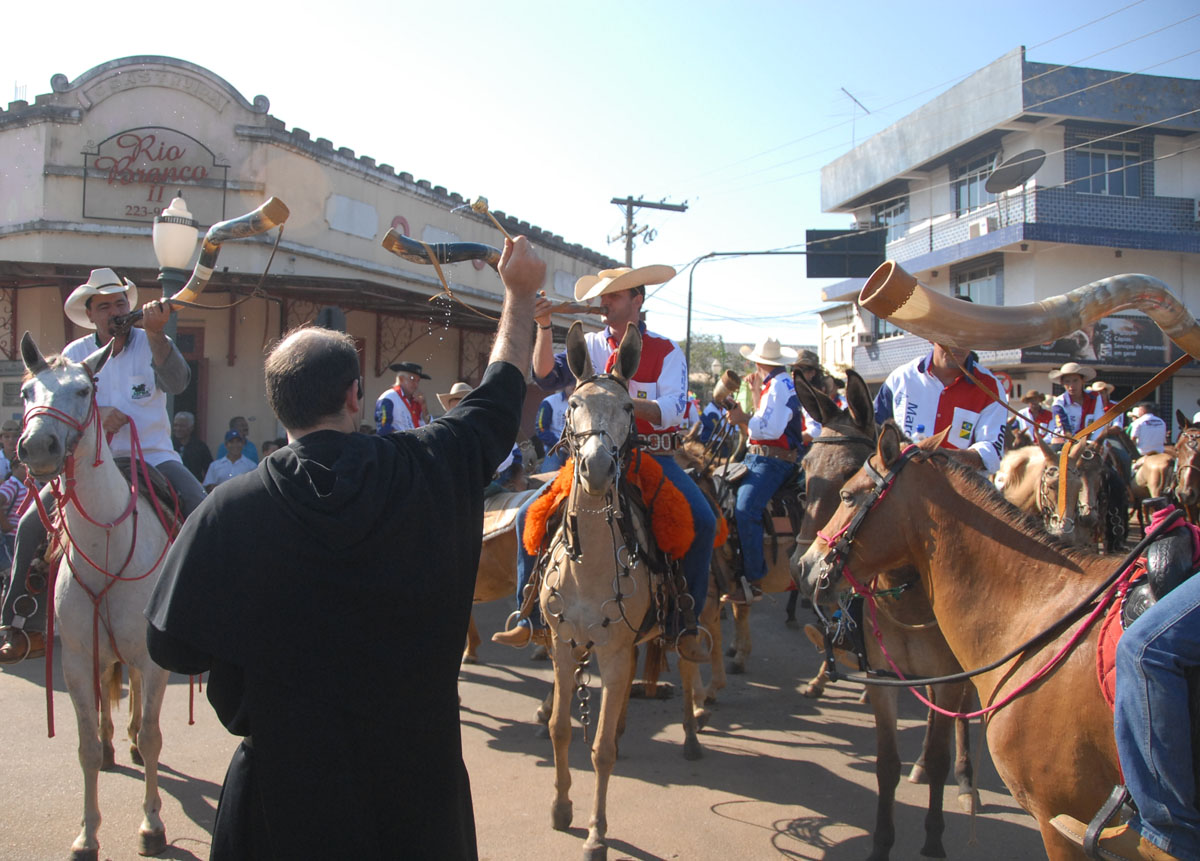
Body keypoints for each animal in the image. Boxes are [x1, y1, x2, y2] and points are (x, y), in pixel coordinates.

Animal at [17, 333, 174, 858]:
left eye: (84, 390)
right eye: (27, 392)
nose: (37, 446)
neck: (108, 545)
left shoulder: (152, 659)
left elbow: (152, 736)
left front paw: (152, 824)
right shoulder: (76, 660)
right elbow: (84, 747)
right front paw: (87, 833)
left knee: (138, 703)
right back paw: (110, 745)